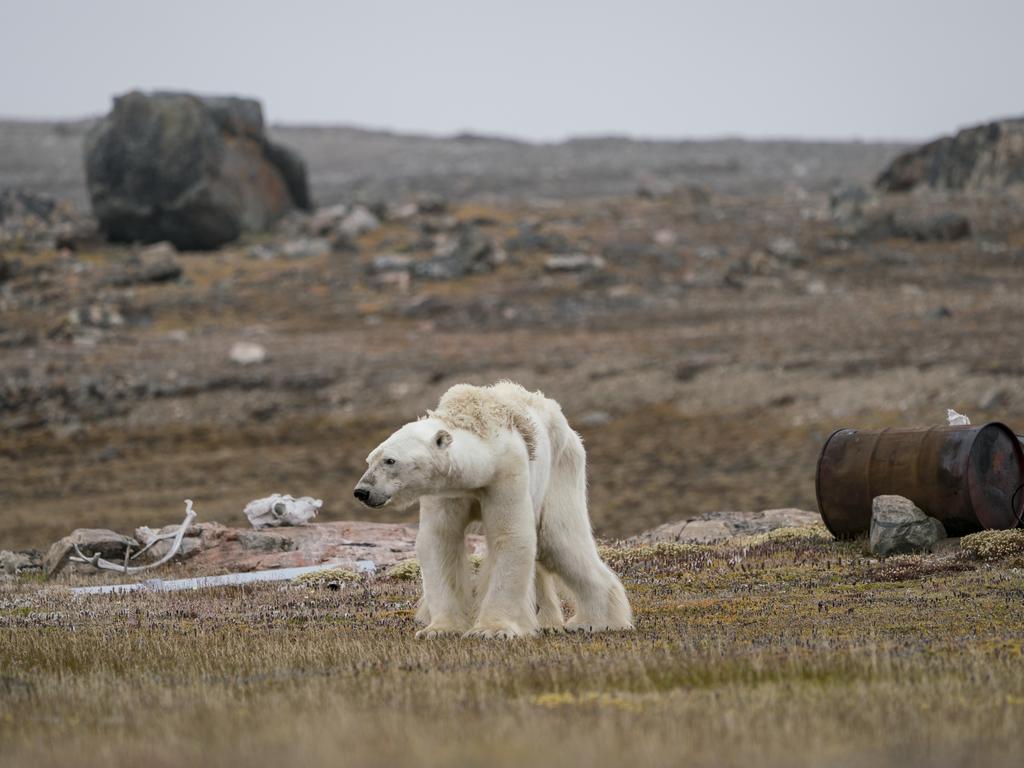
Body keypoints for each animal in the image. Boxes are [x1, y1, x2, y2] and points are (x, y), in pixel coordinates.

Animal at [356, 382, 634, 638]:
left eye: (390, 460)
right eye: (369, 459)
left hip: (562, 466)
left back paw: (596, 622)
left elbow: (510, 536)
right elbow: (439, 541)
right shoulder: (447, 491)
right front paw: (439, 629)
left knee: (558, 540)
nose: (362, 491)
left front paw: (491, 630)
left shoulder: (506, 473)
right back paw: (546, 621)